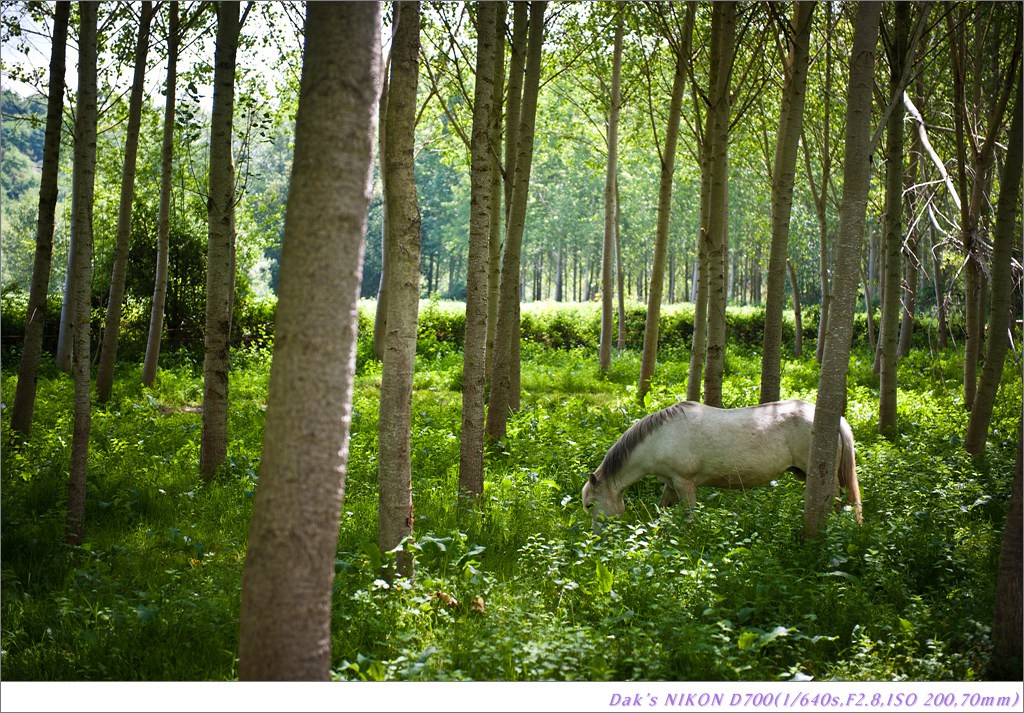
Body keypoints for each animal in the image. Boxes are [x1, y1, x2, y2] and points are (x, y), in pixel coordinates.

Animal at [581, 401, 860, 528]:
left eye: (589, 505)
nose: (596, 537)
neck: (660, 438)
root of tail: (835, 420)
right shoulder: (671, 484)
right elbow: (662, 510)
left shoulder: (685, 483)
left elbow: (691, 516)